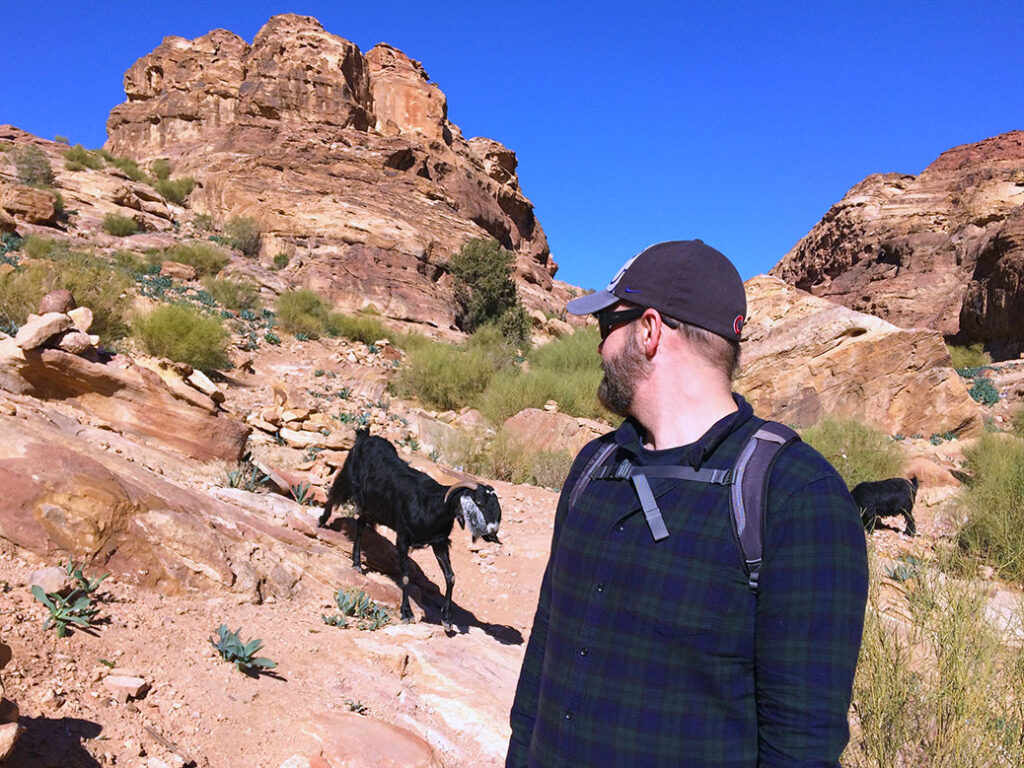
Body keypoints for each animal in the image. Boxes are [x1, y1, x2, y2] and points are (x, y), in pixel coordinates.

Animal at [315, 430, 499, 634]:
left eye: (495, 505)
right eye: (479, 502)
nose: (493, 530)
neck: (430, 505)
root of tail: (366, 435)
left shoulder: (439, 543)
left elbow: (450, 577)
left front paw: (447, 620)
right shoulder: (403, 539)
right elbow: (405, 576)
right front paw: (406, 613)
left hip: (373, 505)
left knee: (361, 523)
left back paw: (356, 562)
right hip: (349, 476)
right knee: (335, 493)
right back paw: (323, 521)